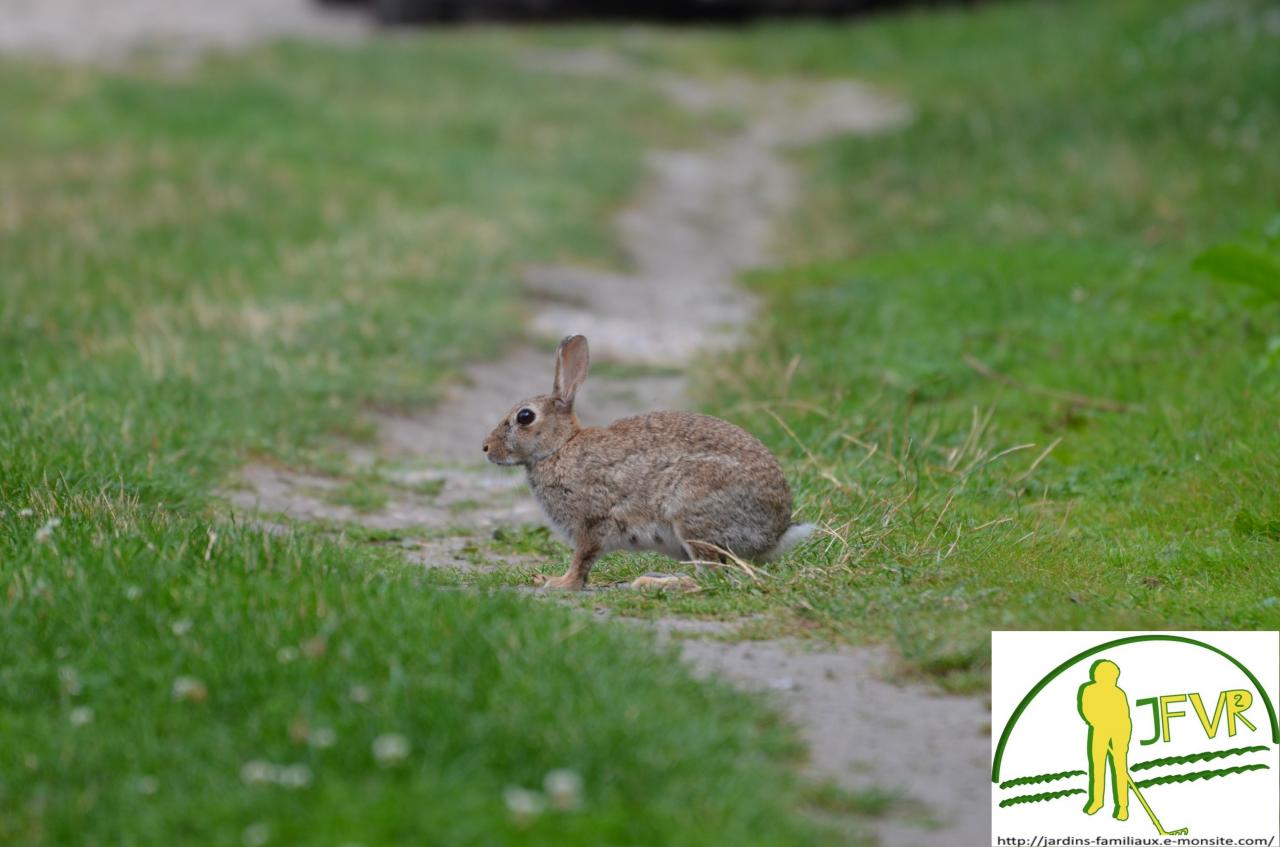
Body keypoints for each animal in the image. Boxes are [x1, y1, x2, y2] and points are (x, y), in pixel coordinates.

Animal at [481, 337, 808, 591]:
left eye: (525, 417)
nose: (486, 448)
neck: (559, 447)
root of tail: (775, 533)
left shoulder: (591, 522)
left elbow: (582, 559)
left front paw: (560, 583)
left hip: (692, 512)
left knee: (712, 577)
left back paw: (656, 583)